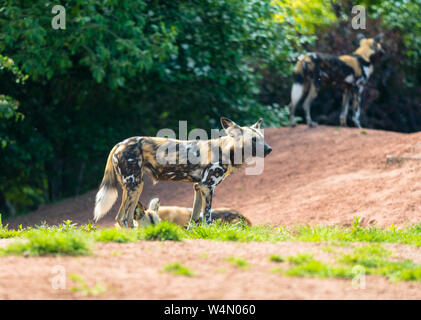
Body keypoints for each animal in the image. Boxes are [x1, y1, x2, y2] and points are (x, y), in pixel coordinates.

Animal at [94, 117, 272, 228]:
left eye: (262, 138)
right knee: (123, 218)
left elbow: (195, 218)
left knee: (126, 218)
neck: (227, 151)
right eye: (254, 140)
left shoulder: (198, 187)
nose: (269, 149)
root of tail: (119, 143)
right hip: (134, 185)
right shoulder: (208, 187)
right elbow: (207, 217)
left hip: (134, 187)